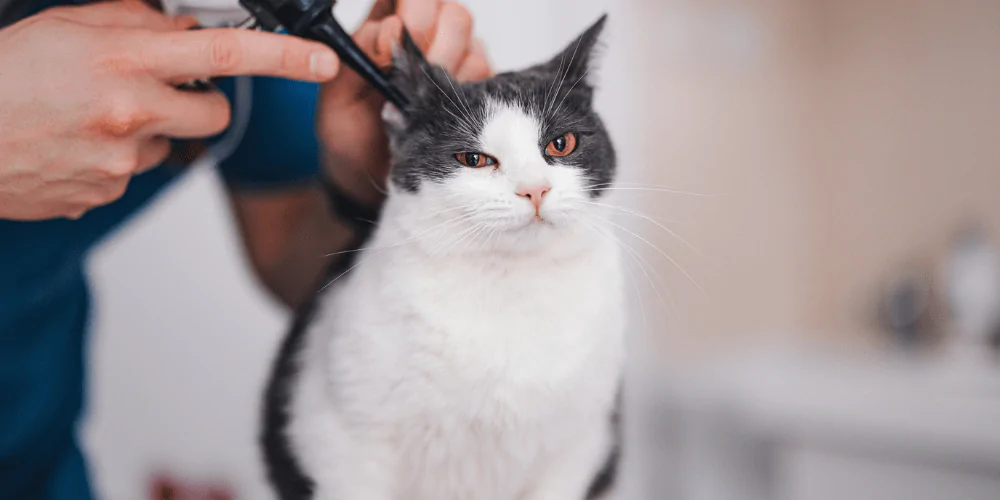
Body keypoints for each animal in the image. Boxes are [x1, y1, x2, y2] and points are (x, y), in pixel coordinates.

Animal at [262, 15, 628, 500]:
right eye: (473, 159)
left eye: (562, 144)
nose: (535, 189)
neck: (509, 287)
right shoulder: (342, 443)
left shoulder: (579, 446)